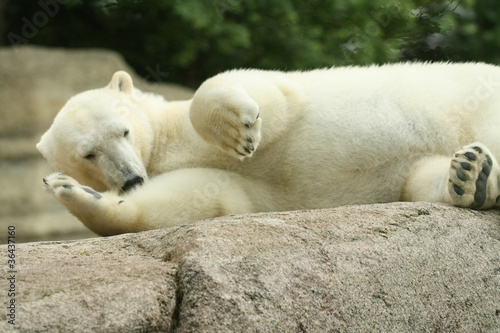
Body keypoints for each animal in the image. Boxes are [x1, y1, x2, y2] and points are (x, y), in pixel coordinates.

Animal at [37, 61, 500, 233]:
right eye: (88, 154)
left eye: (124, 132)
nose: (132, 179)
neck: (164, 145)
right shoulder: (210, 180)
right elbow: (209, 195)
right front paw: (77, 193)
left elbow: (268, 94)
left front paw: (237, 130)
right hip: (413, 170)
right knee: (421, 176)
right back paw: (470, 177)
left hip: (479, 99)